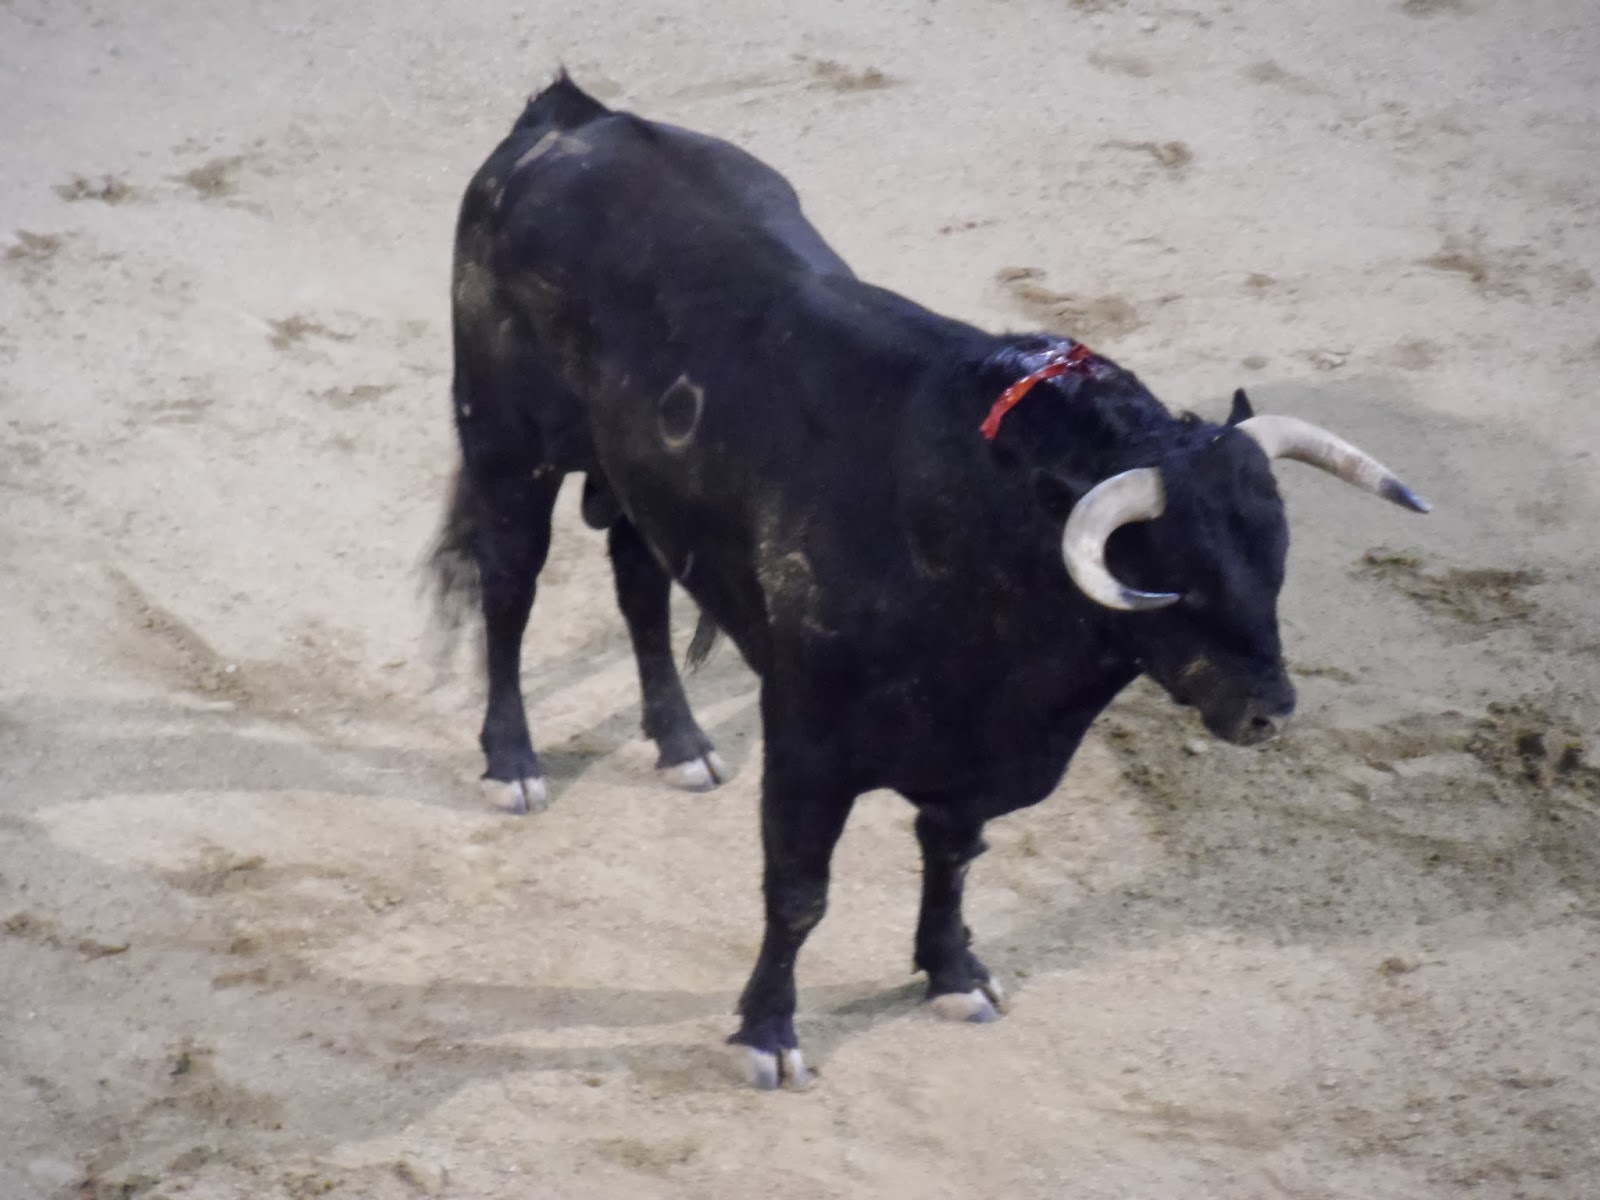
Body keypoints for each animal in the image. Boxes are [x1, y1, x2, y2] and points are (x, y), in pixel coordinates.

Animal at [429, 72, 1429, 1089]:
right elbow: (799, 891)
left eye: (1274, 563)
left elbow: (953, 857)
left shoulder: (975, 764)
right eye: (1173, 577)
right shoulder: (807, 743)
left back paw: (681, 744)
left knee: (639, 579)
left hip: (635, 476)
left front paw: (953, 974)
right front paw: (769, 1033)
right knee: (510, 587)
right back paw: (512, 762)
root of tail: (574, 116)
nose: (1271, 713)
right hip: (505, 441)